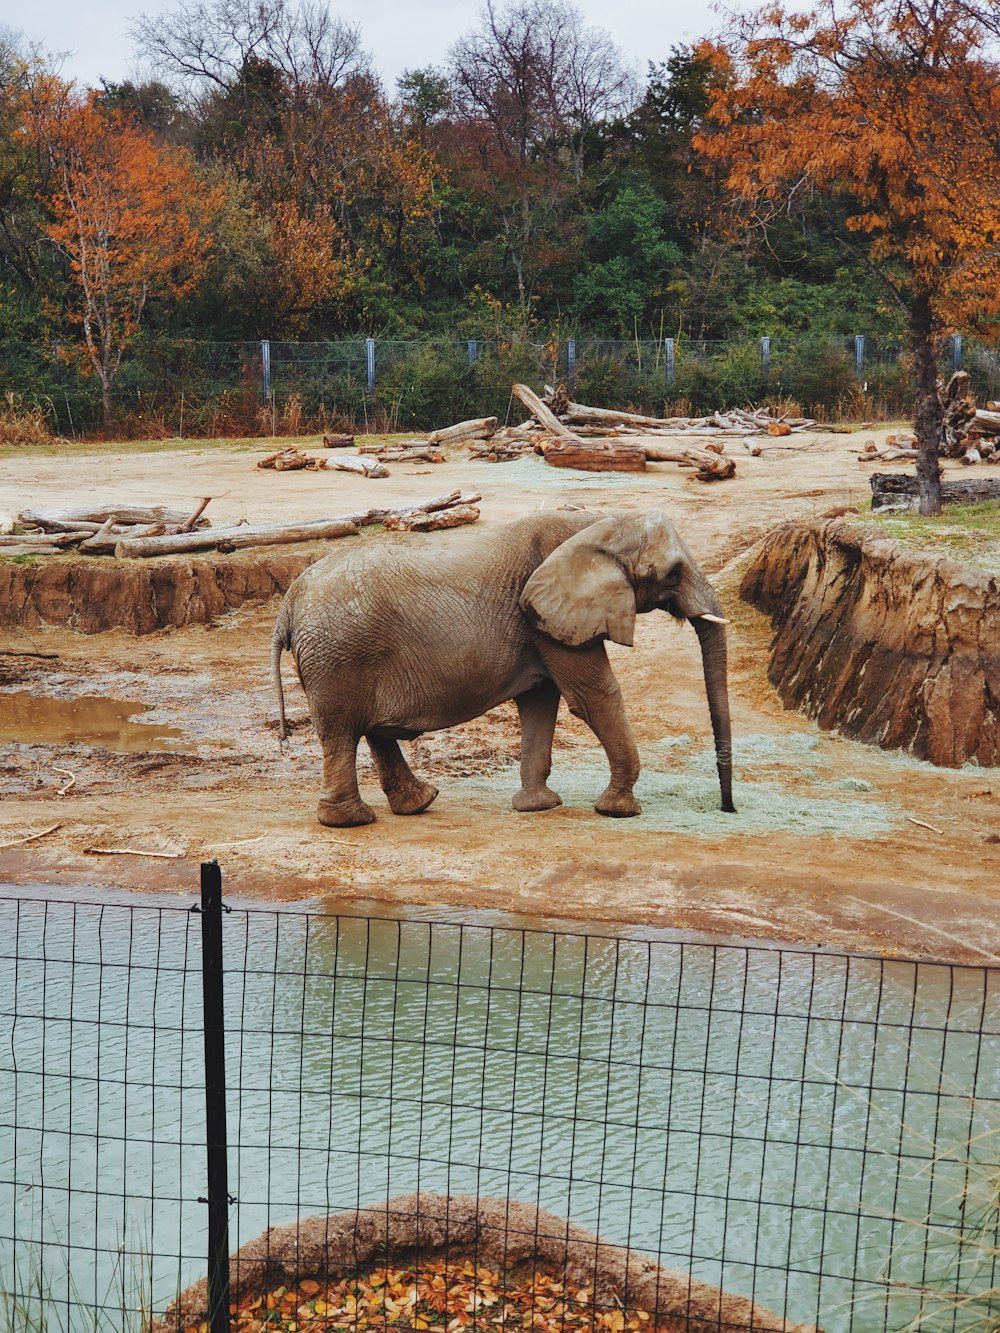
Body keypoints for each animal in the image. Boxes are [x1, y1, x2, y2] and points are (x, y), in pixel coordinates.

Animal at [272, 506, 736, 821]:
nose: (727, 809)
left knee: (371, 731)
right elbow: (593, 697)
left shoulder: (546, 623)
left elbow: (540, 702)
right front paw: (618, 810)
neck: (598, 520)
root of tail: (288, 604)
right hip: (338, 655)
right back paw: (352, 821)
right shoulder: (549, 619)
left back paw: (418, 803)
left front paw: (538, 807)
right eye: (673, 573)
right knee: (342, 732)